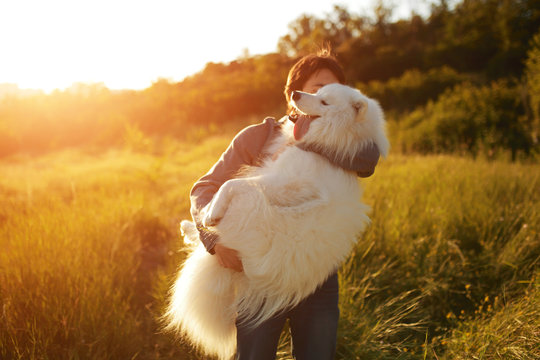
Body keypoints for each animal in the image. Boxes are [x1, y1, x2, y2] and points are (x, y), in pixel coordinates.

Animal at [163, 83, 388, 358]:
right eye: (317, 91)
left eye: (324, 102)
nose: (296, 94)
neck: (328, 145)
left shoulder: (287, 182)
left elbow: (231, 183)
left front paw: (211, 211)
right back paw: (189, 227)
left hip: (249, 206)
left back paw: (200, 222)